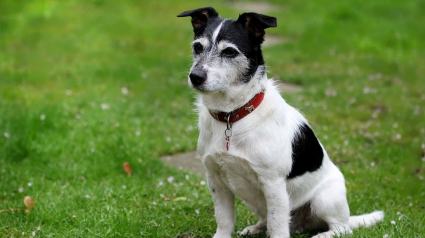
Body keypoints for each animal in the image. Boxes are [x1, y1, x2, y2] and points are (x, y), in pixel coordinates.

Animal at [177, 6, 382, 238]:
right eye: (197, 46)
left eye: (229, 52)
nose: (195, 76)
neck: (232, 115)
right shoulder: (216, 180)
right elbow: (224, 219)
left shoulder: (273, 183)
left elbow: (277, 225)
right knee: (266, 219)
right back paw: (255, 228)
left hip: (324, 199)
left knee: (341, 228)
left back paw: (323, 234)